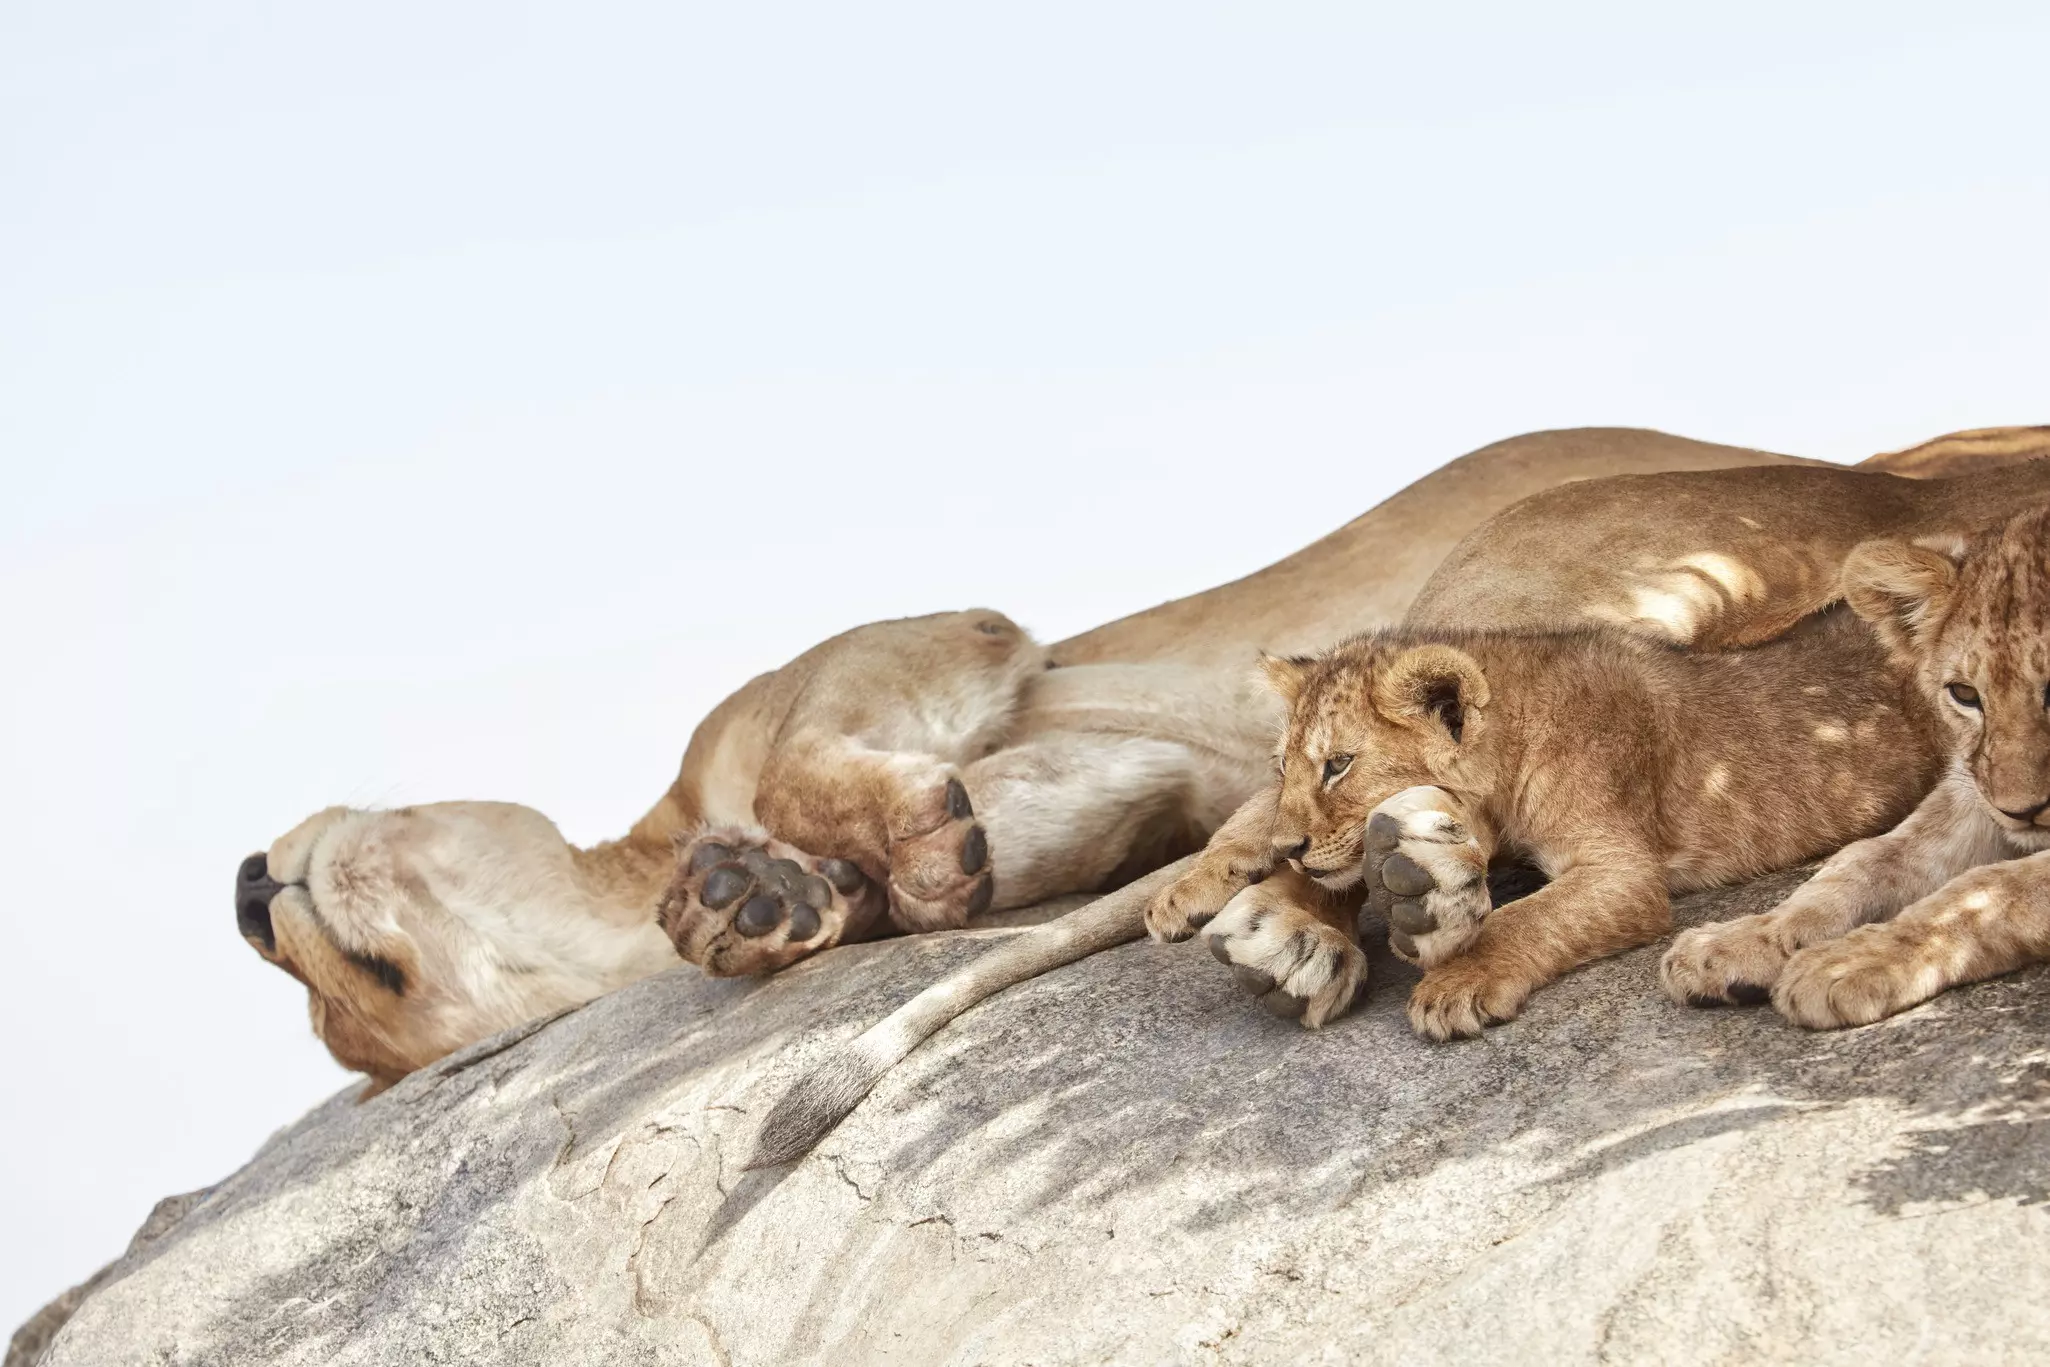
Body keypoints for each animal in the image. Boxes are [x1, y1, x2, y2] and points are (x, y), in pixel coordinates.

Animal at [1660, 501, 2050, 1028]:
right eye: (1965, 695)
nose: (2021, 811)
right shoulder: (1973, 790)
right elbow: (1867, 857)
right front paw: (1745, 940)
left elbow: (1989, 889)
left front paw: (1848, 961)